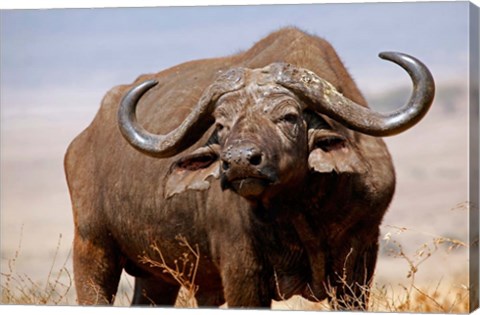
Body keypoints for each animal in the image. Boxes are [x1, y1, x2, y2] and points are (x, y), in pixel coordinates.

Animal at [63, 28, 436, 310]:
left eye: (289, 116)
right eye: (221, 123)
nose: (240, 161)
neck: (300, 213)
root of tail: (82, 141)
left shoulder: (358, 263)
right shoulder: (242, 272)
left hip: (158, 275)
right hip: (92, 248)